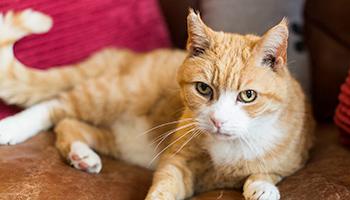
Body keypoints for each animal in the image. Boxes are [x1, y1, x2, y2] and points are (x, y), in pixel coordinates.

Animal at [0, 8, 314, 199]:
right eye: (203, 89)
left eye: (247, 96)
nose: (217, 121)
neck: (232, 147)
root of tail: (124, 56)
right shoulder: (177, 161)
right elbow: (165, 186)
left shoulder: (294, 158)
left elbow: (266, 172)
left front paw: (262, 187)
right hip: (111, 94)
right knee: (56, 105)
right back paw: (13, 128)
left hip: (130, 144)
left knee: (71, 124)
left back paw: (83, 155)